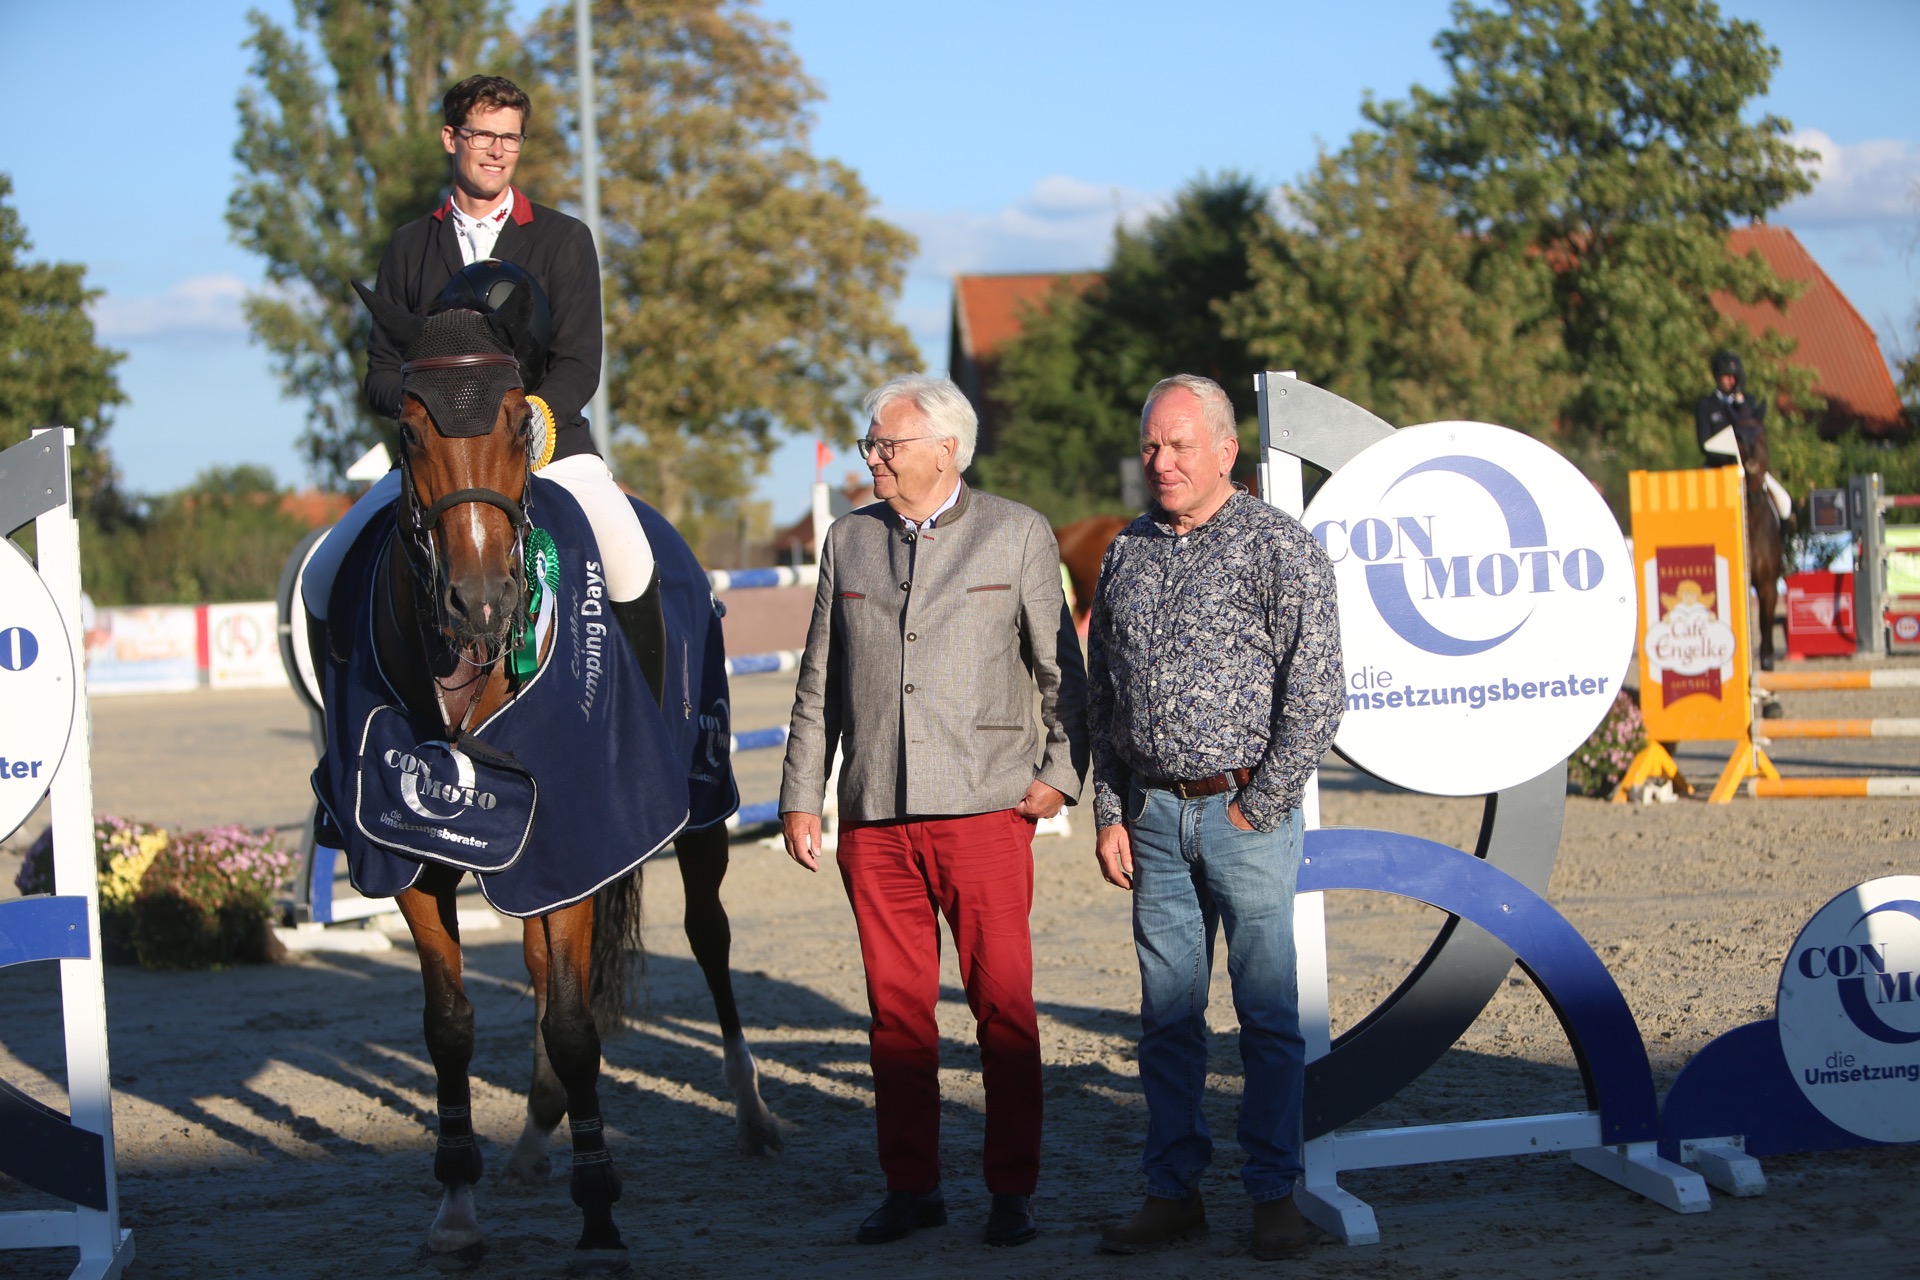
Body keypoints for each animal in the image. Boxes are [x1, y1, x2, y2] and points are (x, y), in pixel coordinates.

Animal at [318, 280, 783, 1274]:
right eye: (407, 427)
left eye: (513, 419)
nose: (480, 602)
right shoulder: (407, 857)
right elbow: (450, 1024)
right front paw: (457, 1205)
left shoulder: (577, 836)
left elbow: (576, 1029)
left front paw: (600, 1217)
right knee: (537, 967)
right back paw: (535, 1138)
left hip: (701, 814)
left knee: (709, 937)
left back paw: (752, 1110)